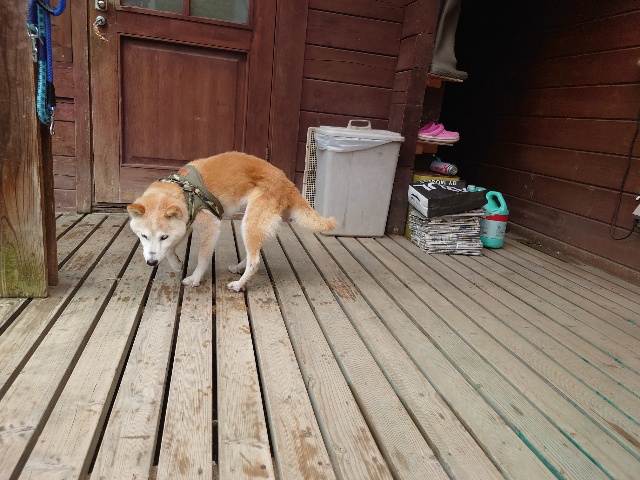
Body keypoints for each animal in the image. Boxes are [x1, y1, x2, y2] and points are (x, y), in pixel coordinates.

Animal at [127, 152, 337, 291]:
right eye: (143, 236)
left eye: (163, 236)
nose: (151, 263)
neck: (182, 191)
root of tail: (288, 182)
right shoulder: (185, 225)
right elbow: (170, 249)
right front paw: (177, 264)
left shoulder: (210, 226)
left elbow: (202, 258)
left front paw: (194, 278)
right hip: (256, 225)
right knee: (254, 254)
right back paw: (238, 267)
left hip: (249, 223)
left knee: (255, 261)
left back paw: (239, 284)